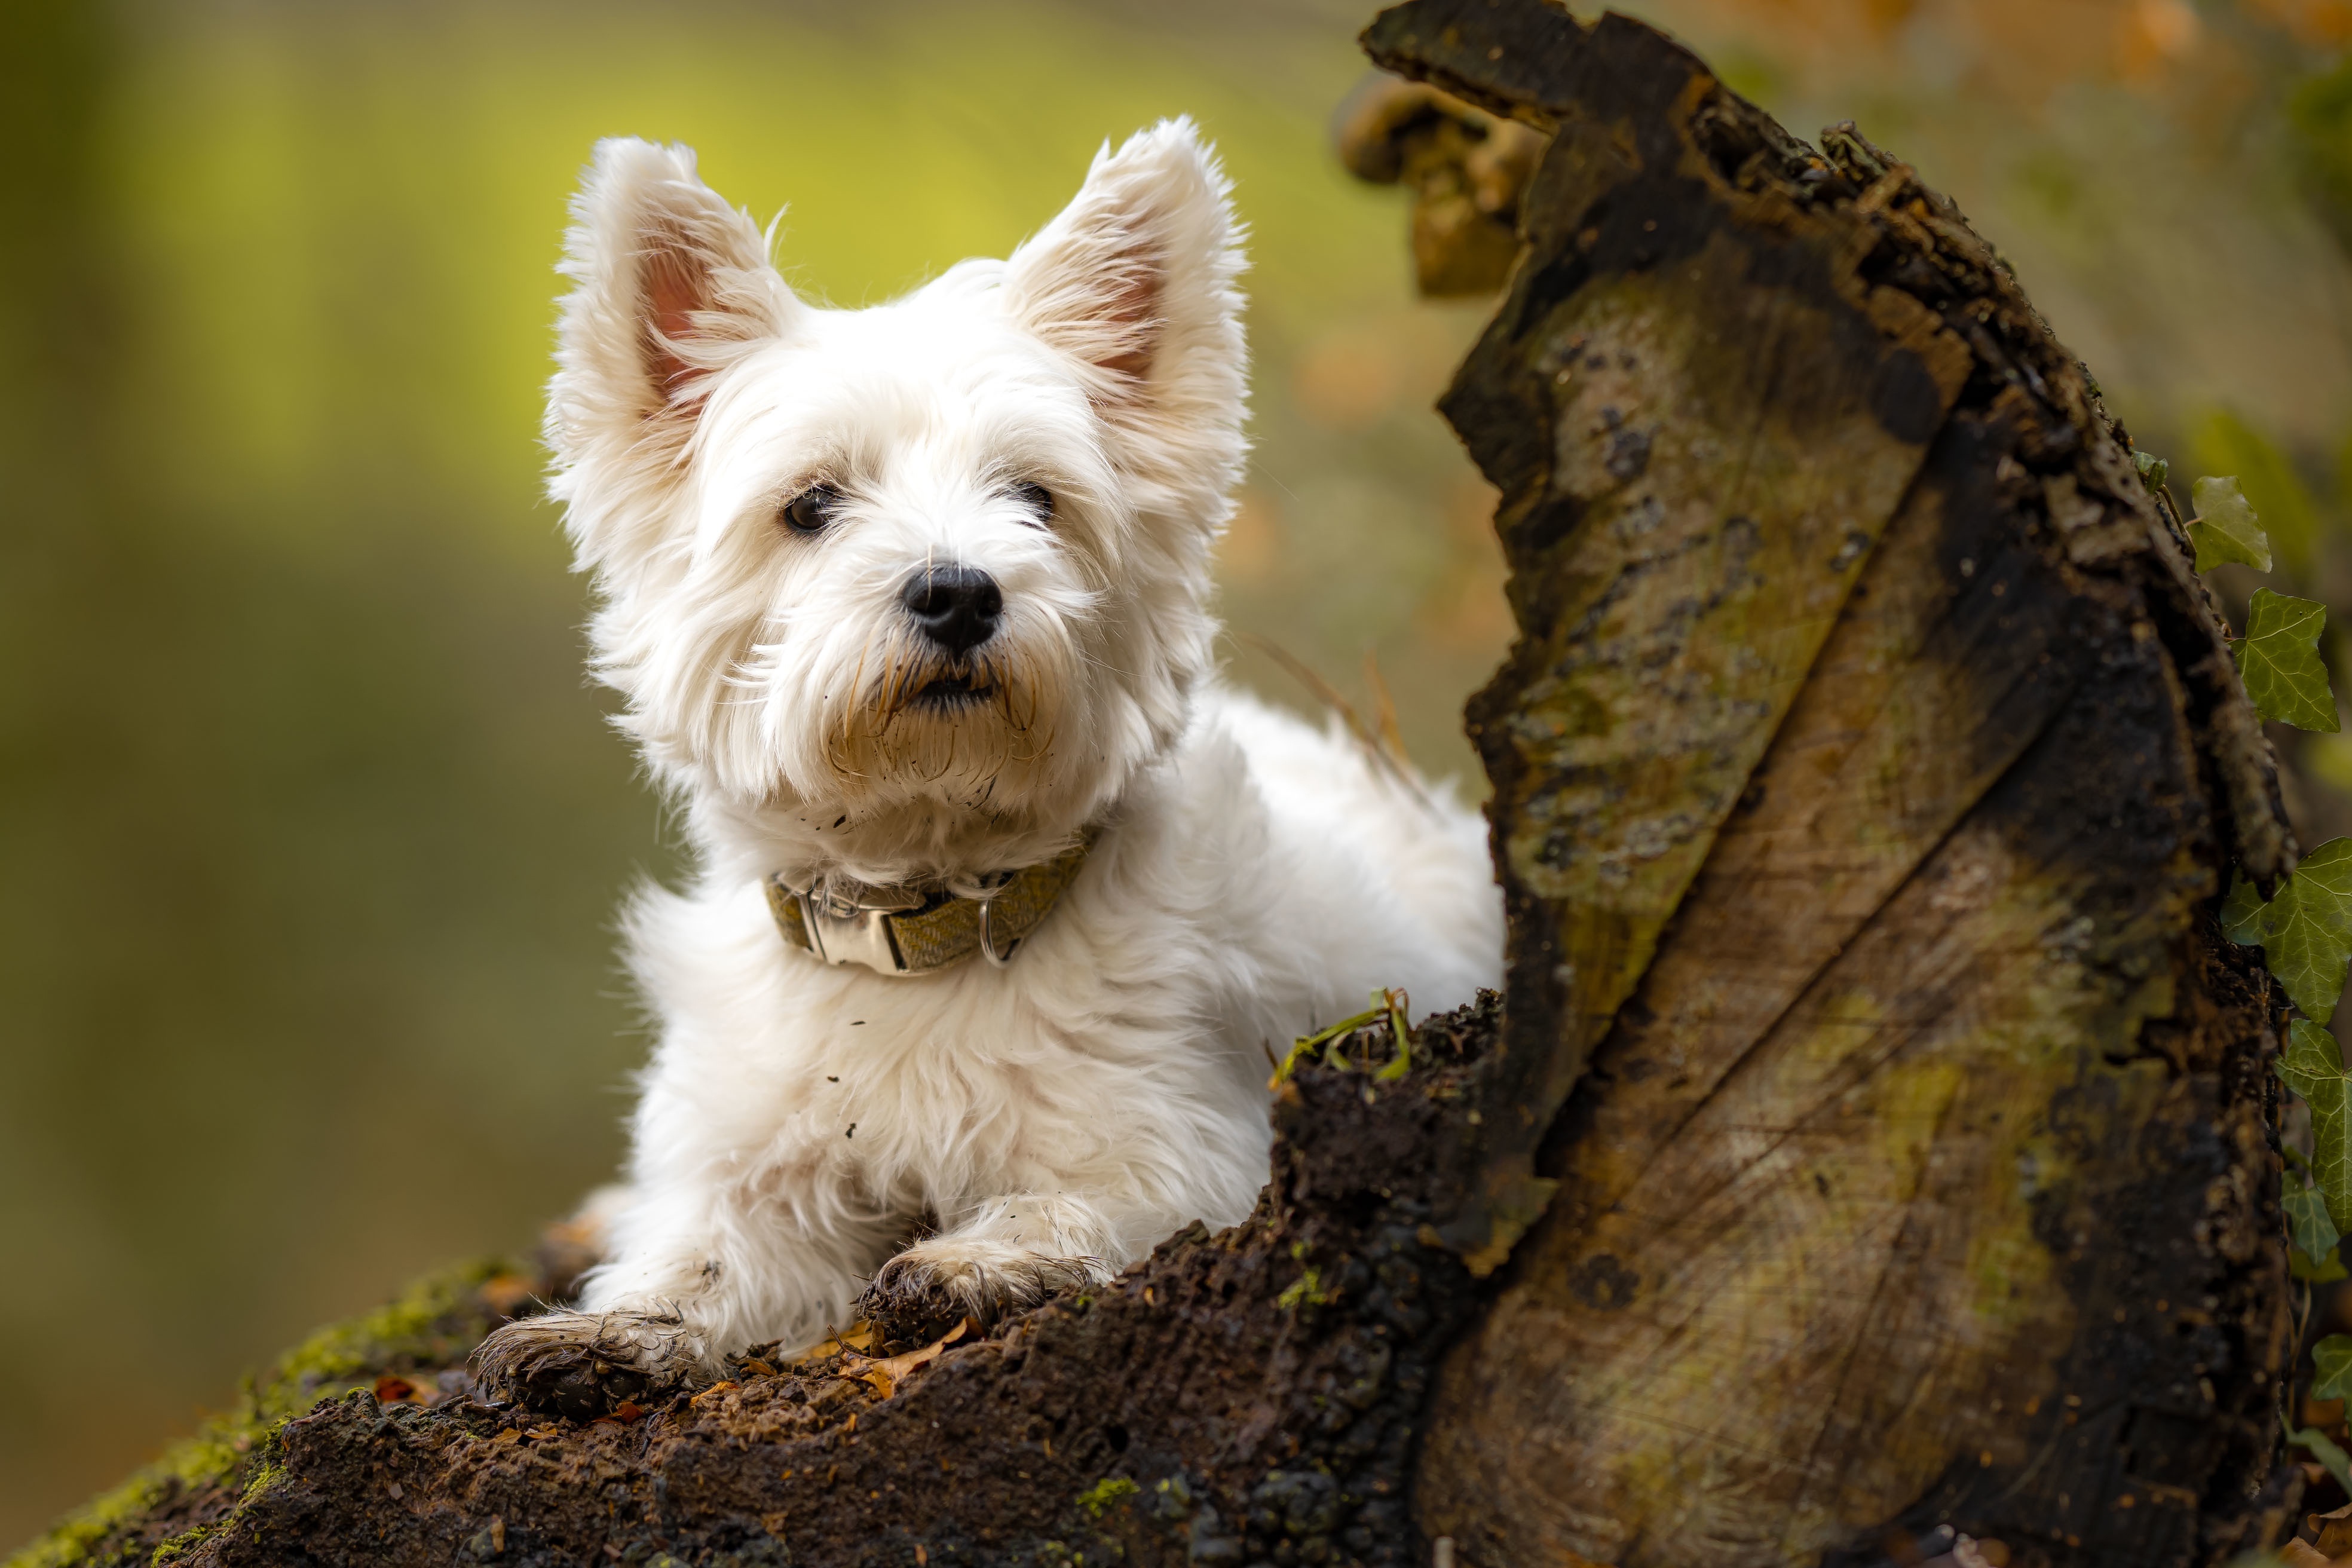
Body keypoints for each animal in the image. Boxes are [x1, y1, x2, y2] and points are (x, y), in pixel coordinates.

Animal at [475, 116, 1496, 1401]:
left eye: (1035, 498)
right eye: (811, 503)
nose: (959, 592)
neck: (920, 923)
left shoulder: (1182, 1137)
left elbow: (1079, 1200)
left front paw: (972, 1258)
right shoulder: (752, 1163)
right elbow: (701, 1254)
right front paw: (614, 1325)